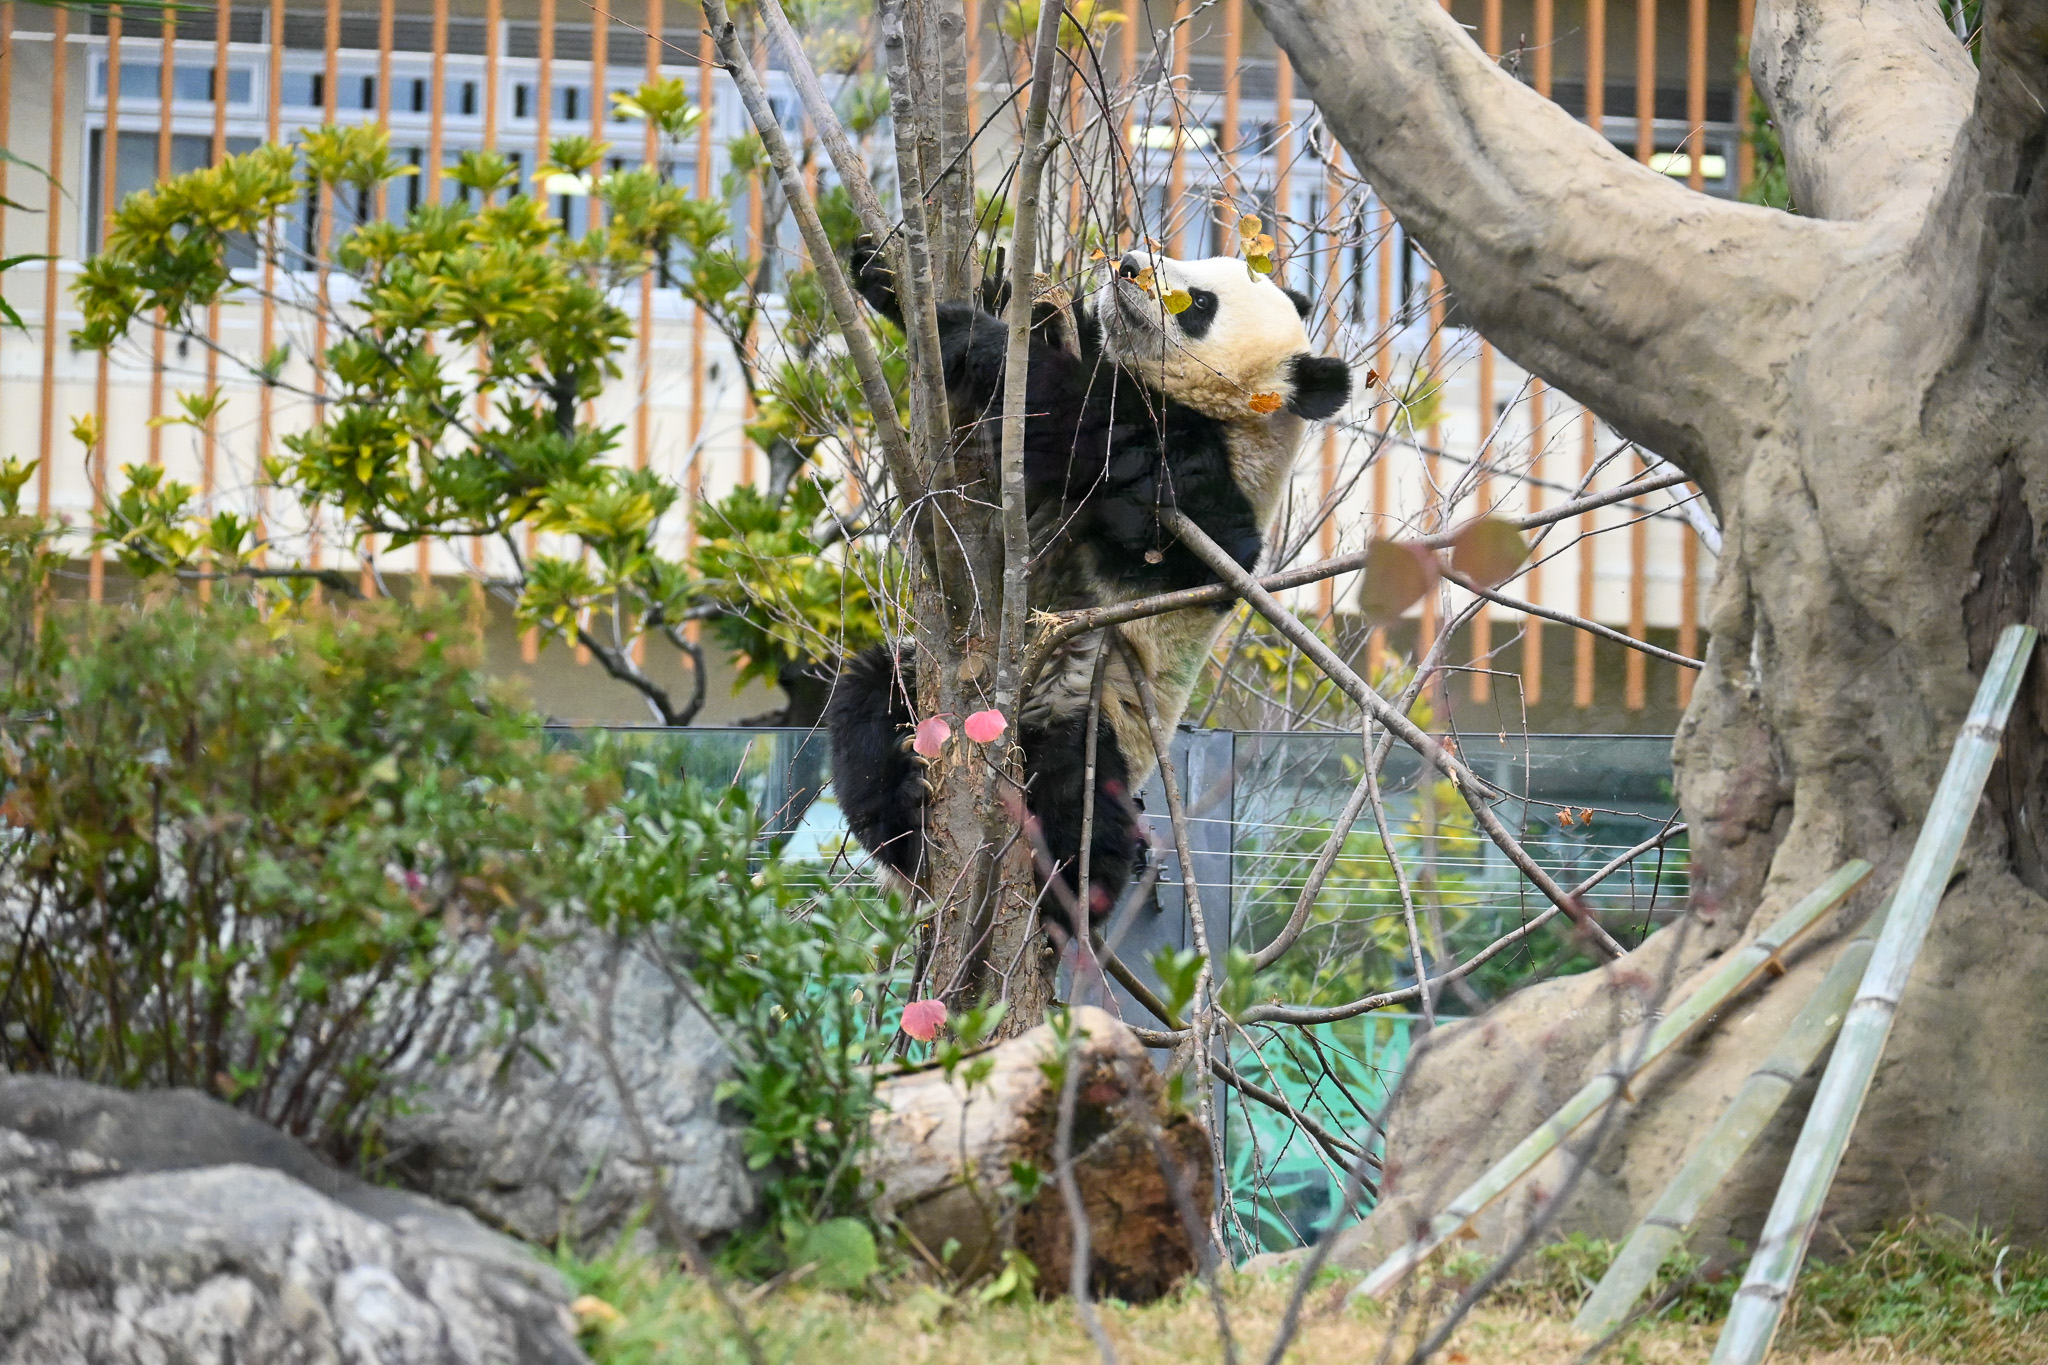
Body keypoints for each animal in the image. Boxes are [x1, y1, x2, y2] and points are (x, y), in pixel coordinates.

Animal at [827, 244, 1352, 939]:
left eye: (1199, 304)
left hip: (1093, 709)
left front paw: (965, 327)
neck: (1243, 424)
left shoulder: (1194, 482)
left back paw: (1066, 898)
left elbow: (1072, 418)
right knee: (863, 705)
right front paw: (892, 275)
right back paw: (905, 811)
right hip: (915, 680)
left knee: (1078, 800)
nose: (1127, 263)